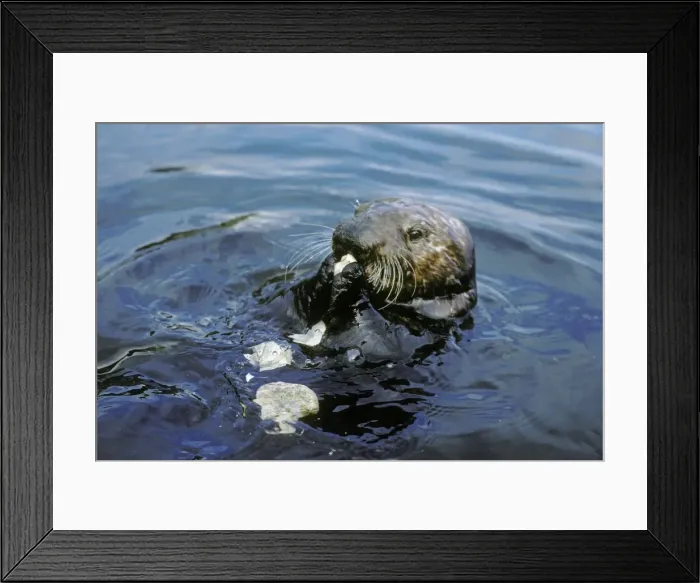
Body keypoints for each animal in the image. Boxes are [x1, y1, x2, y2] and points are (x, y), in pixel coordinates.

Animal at [265, 198, 477, 361]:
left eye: (416, 233)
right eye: (357, 210)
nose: (351, 238)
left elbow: (377, 344)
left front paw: (350, 277)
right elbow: (287, 302)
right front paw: (328, 269)